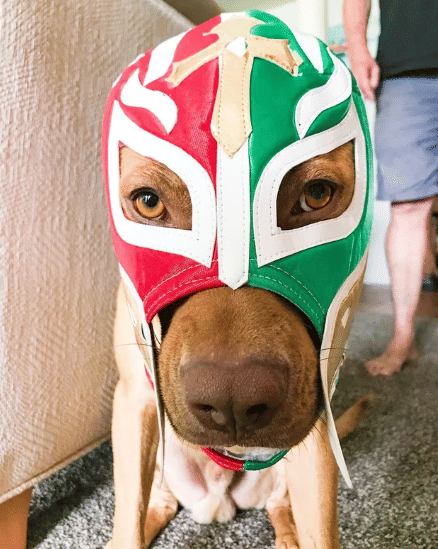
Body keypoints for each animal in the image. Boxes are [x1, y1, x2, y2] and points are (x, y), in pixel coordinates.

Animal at [102, 11, 374, 549]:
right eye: (148, 202)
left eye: (317, 194)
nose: (232, 400)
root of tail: (218, 503)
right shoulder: (135, 401)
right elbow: (126, 516)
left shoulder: (315, 428)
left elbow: (320, 528)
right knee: (151, 505)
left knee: (281, 507)